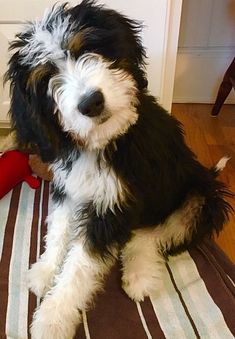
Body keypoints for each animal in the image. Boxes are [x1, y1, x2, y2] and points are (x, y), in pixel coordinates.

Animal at [5, 1, 233, 338]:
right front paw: (46, 270)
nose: (91, 103)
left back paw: (139, 273)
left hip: (201, 198)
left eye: (85, 49)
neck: (102, 142)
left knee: (155, 234)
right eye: (47, 77)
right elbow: (58, 228)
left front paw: (52, 318)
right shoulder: (69, 188)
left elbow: (79, 267)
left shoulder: (112, 207)